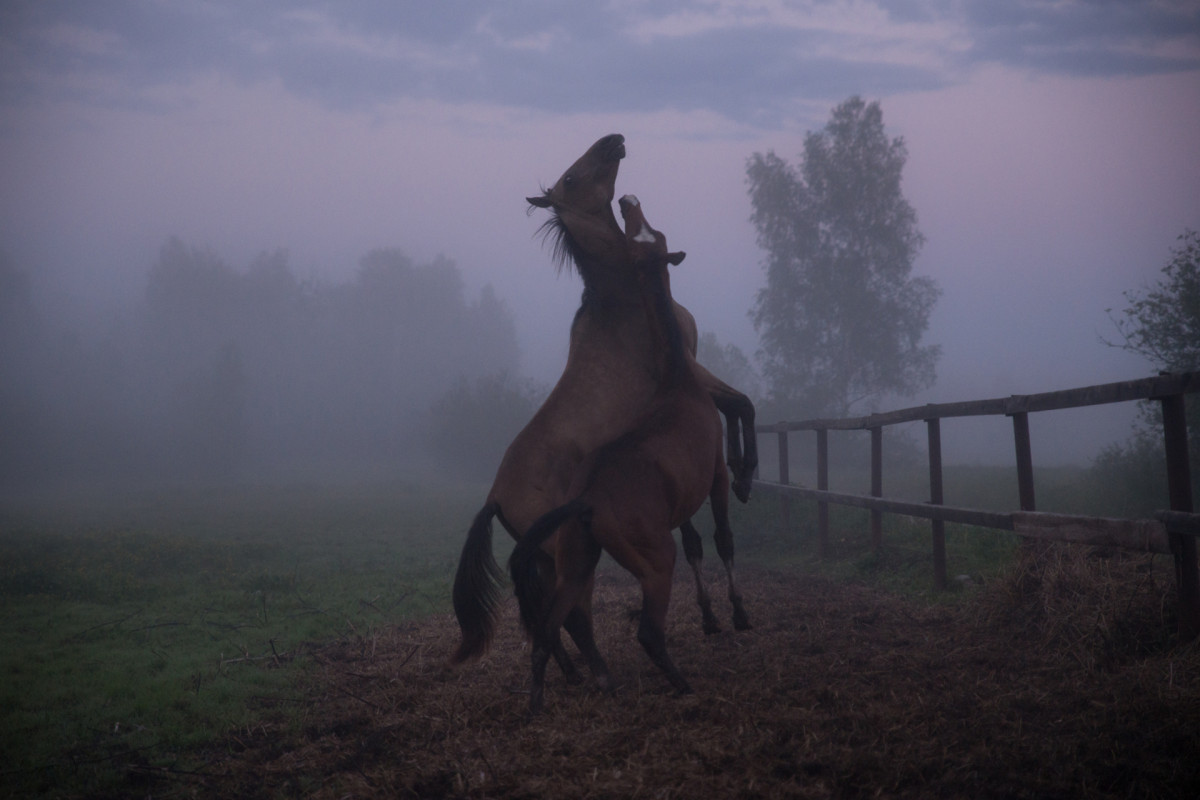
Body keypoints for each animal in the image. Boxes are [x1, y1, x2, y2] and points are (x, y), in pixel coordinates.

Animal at [509, 194, 734, 713]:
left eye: (646, 233)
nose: (629, 199)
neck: (678, 385)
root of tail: (586, 500)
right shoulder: (717, 474)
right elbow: (724, 538)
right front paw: (738, 614)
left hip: (575, 566)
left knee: (548, 631)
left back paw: (538, 701)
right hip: (655, 563)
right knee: (648, 633)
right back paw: (681, 684)